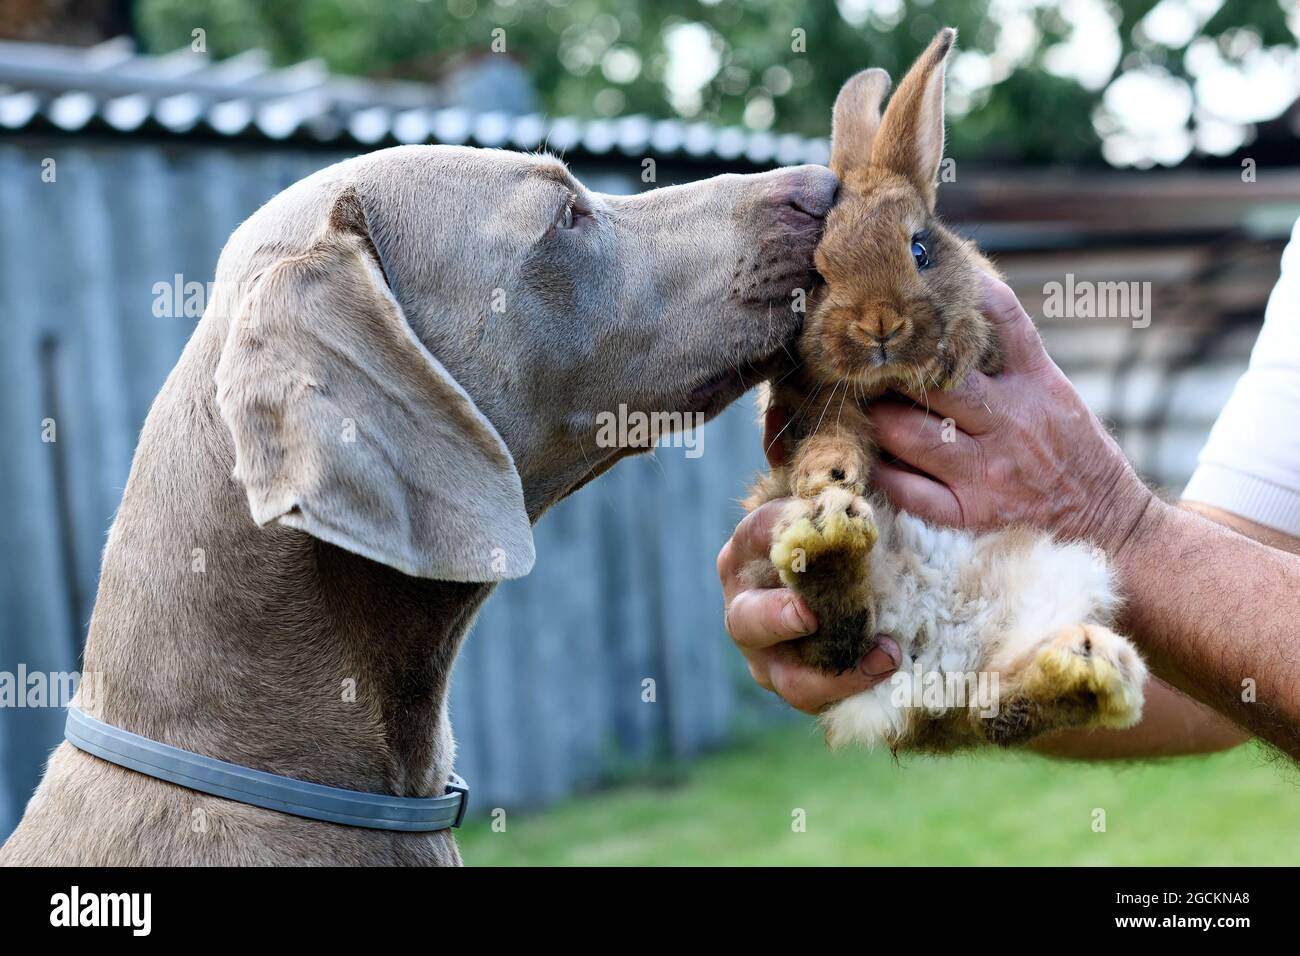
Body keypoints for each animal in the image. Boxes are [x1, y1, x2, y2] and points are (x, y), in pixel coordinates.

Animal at [742, 28, 1148, 752]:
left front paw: (946, 358)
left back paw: (1088, 669)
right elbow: (833, 432)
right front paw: (828, 473)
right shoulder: (810, 402)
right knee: (841, 640)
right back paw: (828, 537)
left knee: (994, 707)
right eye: (817, 274)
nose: (879, 323)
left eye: (920, 251)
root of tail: (930, 651)